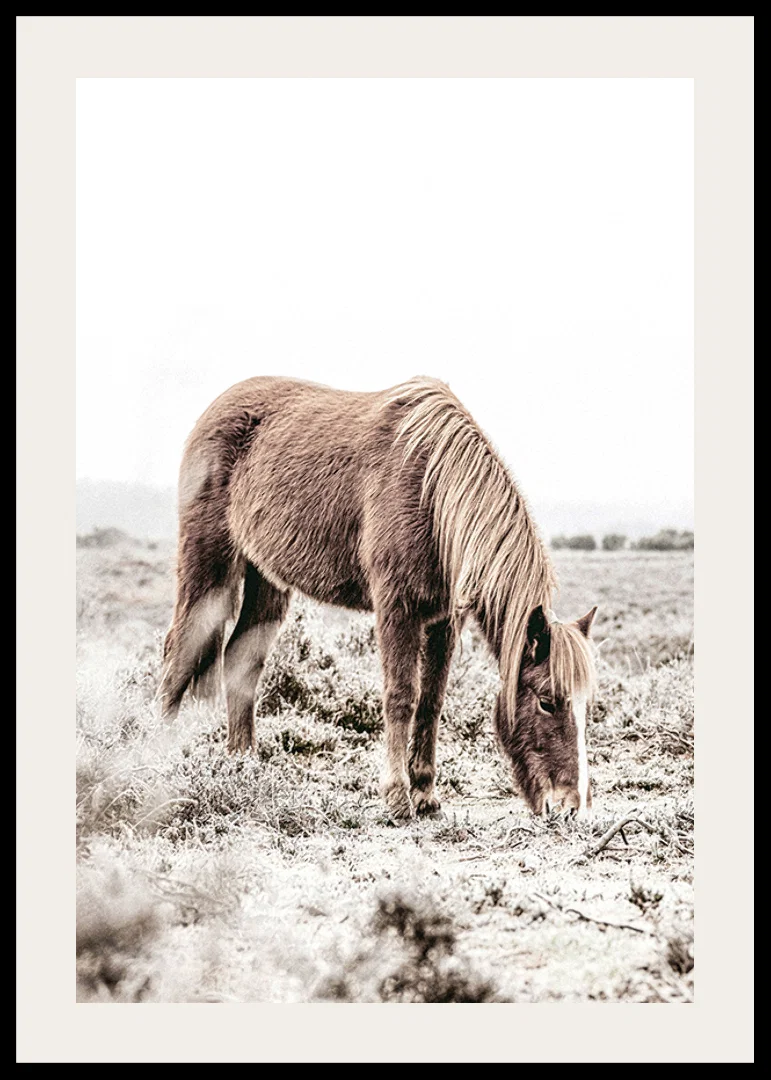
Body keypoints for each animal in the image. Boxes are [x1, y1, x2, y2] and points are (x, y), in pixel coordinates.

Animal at [159, 375, 598, 819]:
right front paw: (397, 797)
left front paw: (425, 793)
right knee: (179, 653)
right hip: (209, 566)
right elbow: (401, 696)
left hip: (267, 580)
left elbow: (431, 702)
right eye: (546, 701)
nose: (569, 806)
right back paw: (158, 758)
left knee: (241, 662)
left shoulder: (444, 620)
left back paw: (243, 766)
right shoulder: (395, 607)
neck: (430, 493)